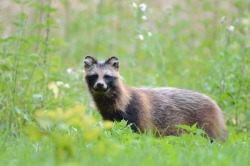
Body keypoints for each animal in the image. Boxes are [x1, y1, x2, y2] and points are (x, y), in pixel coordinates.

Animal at [84, 56, 229, 141]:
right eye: (94, 76)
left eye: (107, 76)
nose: (100, 85)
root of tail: (214, 103)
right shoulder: (109, 117)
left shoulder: (134, 112)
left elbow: (135, 134)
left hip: (205, 124)